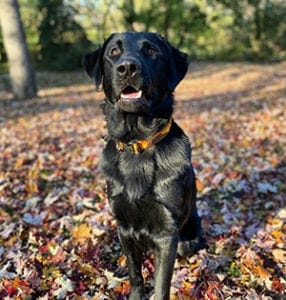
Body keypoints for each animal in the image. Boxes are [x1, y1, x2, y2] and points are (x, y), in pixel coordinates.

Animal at [84, 31, 204, 298]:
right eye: (114, 52)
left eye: (151, 51)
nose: (128, 68)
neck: (137, 143)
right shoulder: (124, 227)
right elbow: (135, 274)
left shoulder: (166, 234)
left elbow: (161, 285)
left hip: (188, 237)